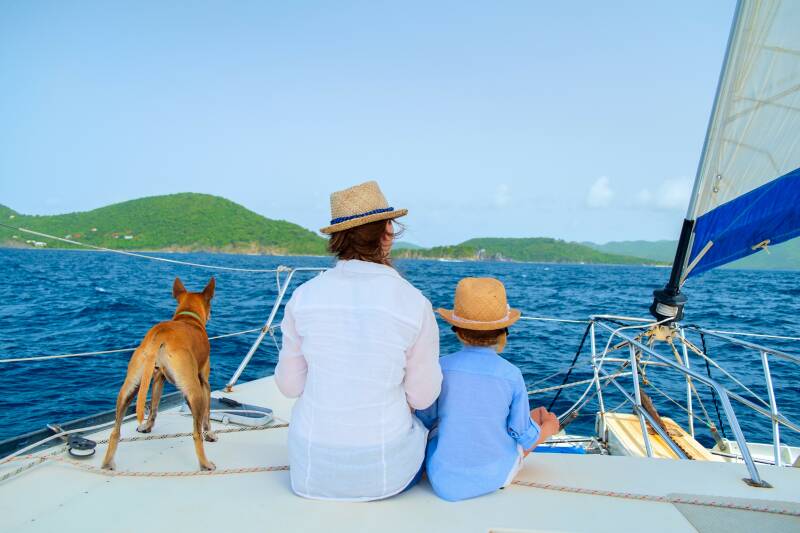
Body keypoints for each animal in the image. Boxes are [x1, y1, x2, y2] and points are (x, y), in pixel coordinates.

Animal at [101, 278, 217, 470]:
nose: (211, 316)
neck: (188, 317)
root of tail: (161, 333)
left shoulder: (157, 378)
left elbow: (154, 406)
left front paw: (147, 426)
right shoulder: (204, 381)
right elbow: (207, 414)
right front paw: (210, 434)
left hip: (131, 387)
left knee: (115, 431)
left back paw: (107, 463)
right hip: (194, 392)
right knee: (196, 433)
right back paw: (205, 463)